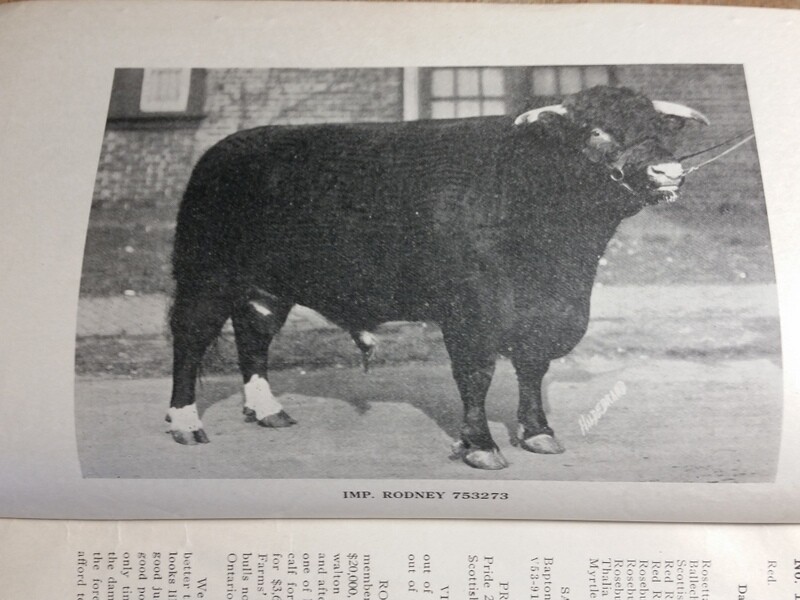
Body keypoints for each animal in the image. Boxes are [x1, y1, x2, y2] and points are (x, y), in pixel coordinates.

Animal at [166, 85, 709, 470]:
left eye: (661, 129)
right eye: (596, 131)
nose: (667, 171)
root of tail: (225, 148)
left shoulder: (548, 309)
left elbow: (532, 368)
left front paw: (538, 433)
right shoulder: (472, 309)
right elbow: (476, 374)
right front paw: (481, 445)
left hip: (266, 285)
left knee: (254, 335)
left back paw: (268, 411)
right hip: (204, 274)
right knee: (190, 339)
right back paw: (184, 423)